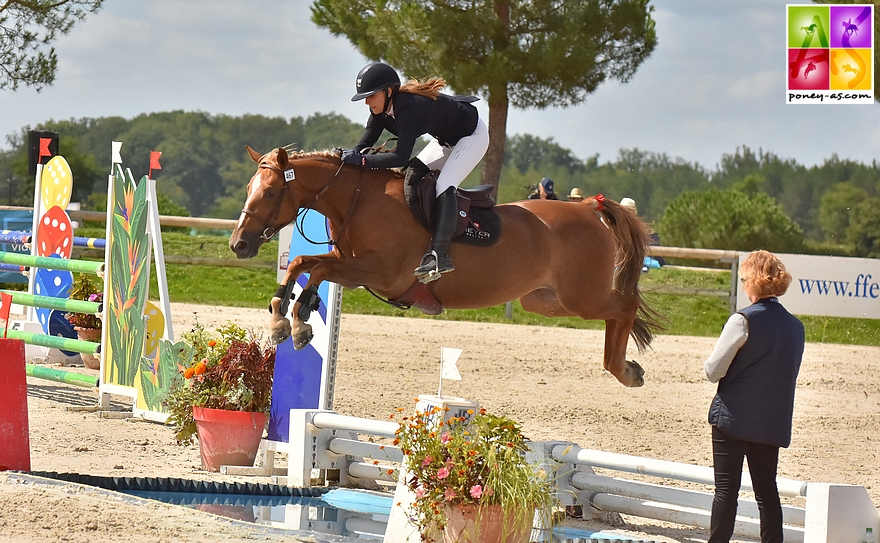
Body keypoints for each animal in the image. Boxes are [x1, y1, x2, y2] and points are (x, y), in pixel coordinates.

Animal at [230, 147, 664, 388]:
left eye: (270, 192)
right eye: (248, 189)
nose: (239, 244)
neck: (358, 199)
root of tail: (589, 207)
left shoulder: (379, 273)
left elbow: (312, 266)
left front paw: (299, 321)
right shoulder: (352, 267)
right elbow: (303, 264)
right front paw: (285, 319)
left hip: (581, 297)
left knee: (624, 306)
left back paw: (624, 371)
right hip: (545, 301)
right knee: (613, 311)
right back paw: (627, 367)